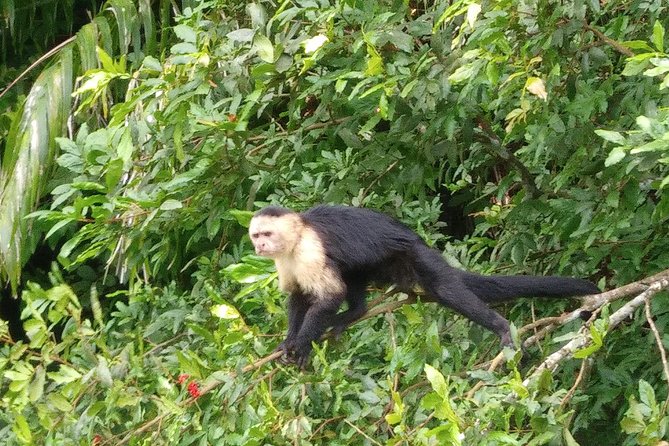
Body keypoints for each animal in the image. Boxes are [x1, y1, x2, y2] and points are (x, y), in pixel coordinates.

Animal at [250, 205, 600, 366]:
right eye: (256, 236)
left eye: (266, 234)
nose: (259, 246)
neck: (296, 239)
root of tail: (418, 241)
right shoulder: (286, 260)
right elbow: (298, 297)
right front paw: (288, 341)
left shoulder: (309, 250)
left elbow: (328, 295)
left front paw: (302, 343)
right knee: (352, 271)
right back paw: (356, 312)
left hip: (413, 256)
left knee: (447, 289)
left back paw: (501, 327)